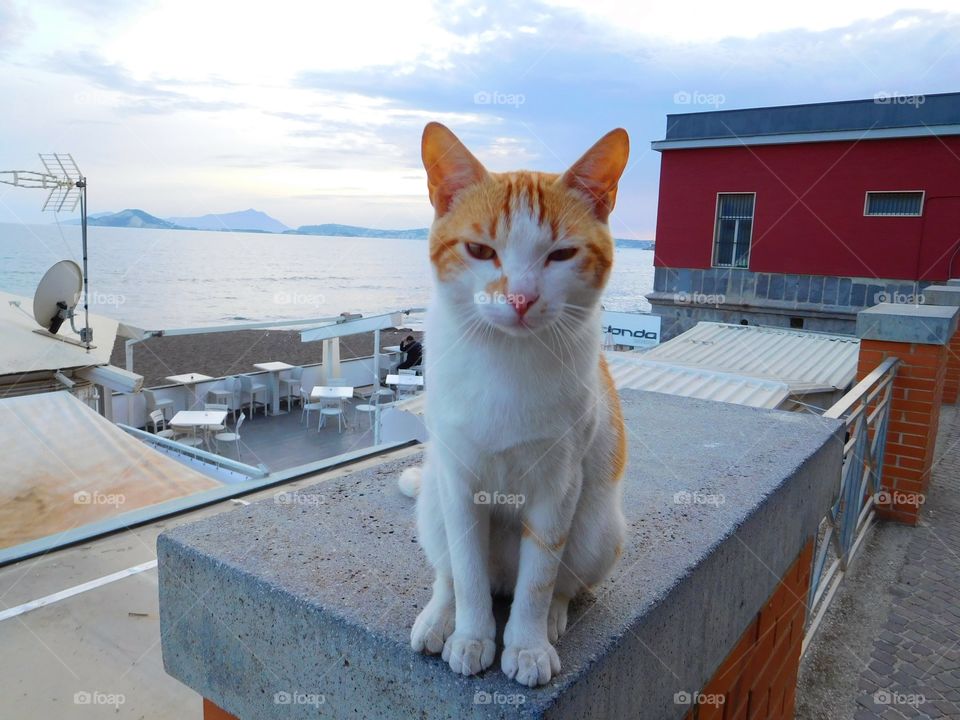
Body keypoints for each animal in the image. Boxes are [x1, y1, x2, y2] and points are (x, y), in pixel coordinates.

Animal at [404, 122, 632, 688]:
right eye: (480, 250)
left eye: (561, 255)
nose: (522, 298)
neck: (506, 359)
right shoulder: (459, 481)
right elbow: (466, 572)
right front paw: (471, 635)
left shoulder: (559, 484)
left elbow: (539, 578)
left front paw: (526, 644)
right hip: (433, 500)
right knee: (448, 571)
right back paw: (441, 617)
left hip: (600, 528)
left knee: (559, 581)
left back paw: (551, 617)